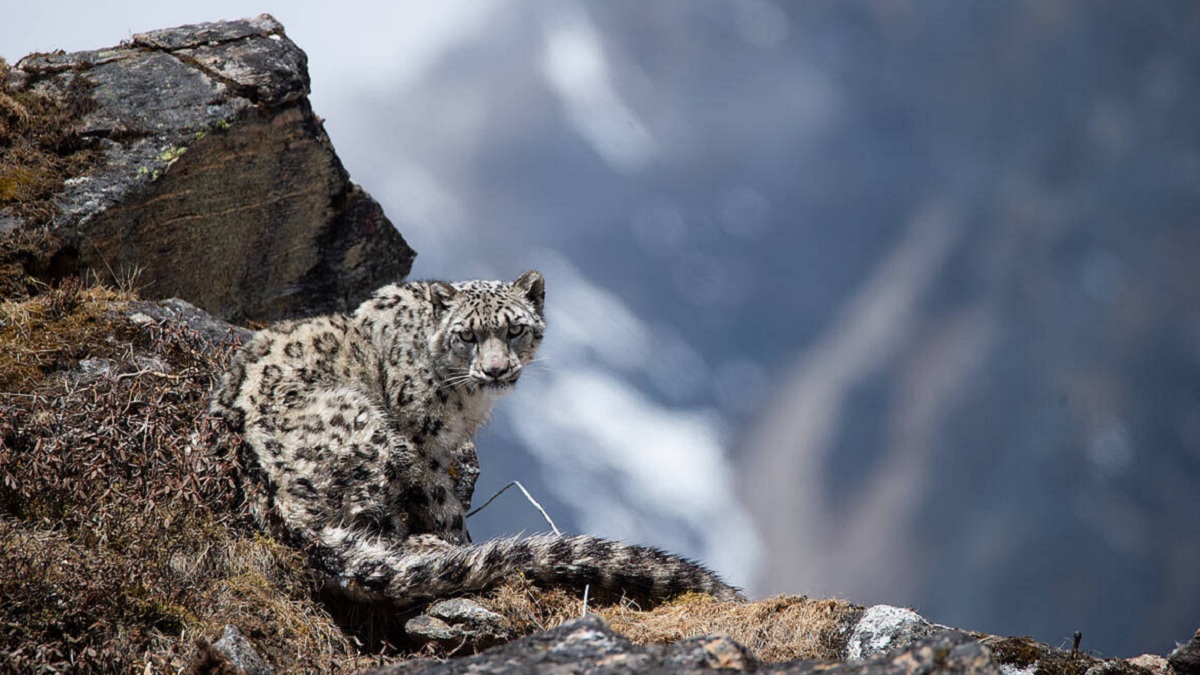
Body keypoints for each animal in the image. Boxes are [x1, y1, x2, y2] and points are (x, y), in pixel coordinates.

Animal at [210, 269, 734, 605]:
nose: (497, 369)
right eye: (467, 335)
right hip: (365, 429)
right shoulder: (421, 440)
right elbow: (444, 504)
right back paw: (424, 548)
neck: (466, 402)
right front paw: (459, 541)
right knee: (365, 524)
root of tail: (267, 491)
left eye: (516, 329)